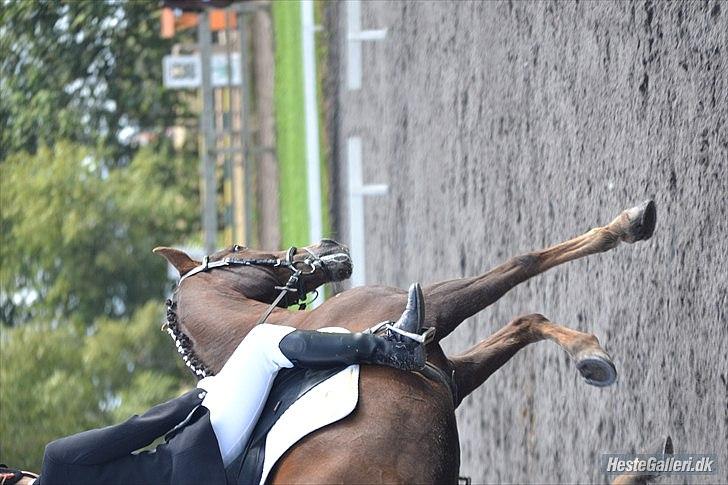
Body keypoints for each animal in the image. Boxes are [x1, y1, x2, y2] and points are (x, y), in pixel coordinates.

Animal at [154, 199, 656, 482]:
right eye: (238, 249)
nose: (327, 244)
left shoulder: (449, 374)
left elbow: (524, 321)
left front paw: (589, 357)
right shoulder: (431, 310)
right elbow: (522, 263)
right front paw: (627, 225)